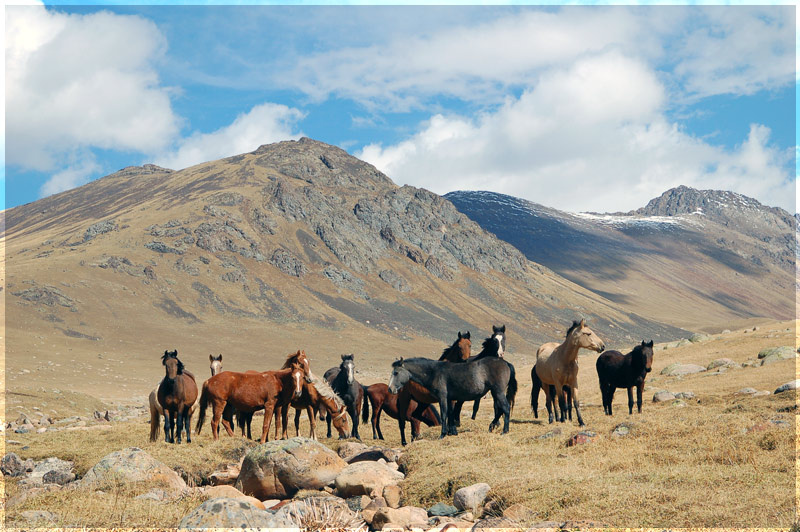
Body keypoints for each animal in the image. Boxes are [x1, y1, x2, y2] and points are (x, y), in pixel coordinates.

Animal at [388, 351, 517, 439]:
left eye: (396, 373)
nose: (390, 389)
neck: (434, 372)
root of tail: (506, 363)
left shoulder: (443, 398)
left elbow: (444, 415)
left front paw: (443, 434)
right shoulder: (450, 399)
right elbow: (450, 415)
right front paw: (452, 432)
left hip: (498, 392)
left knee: (505, 408)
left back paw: (505, 430)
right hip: (495, 392)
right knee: (500, 410)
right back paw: (491, 426)